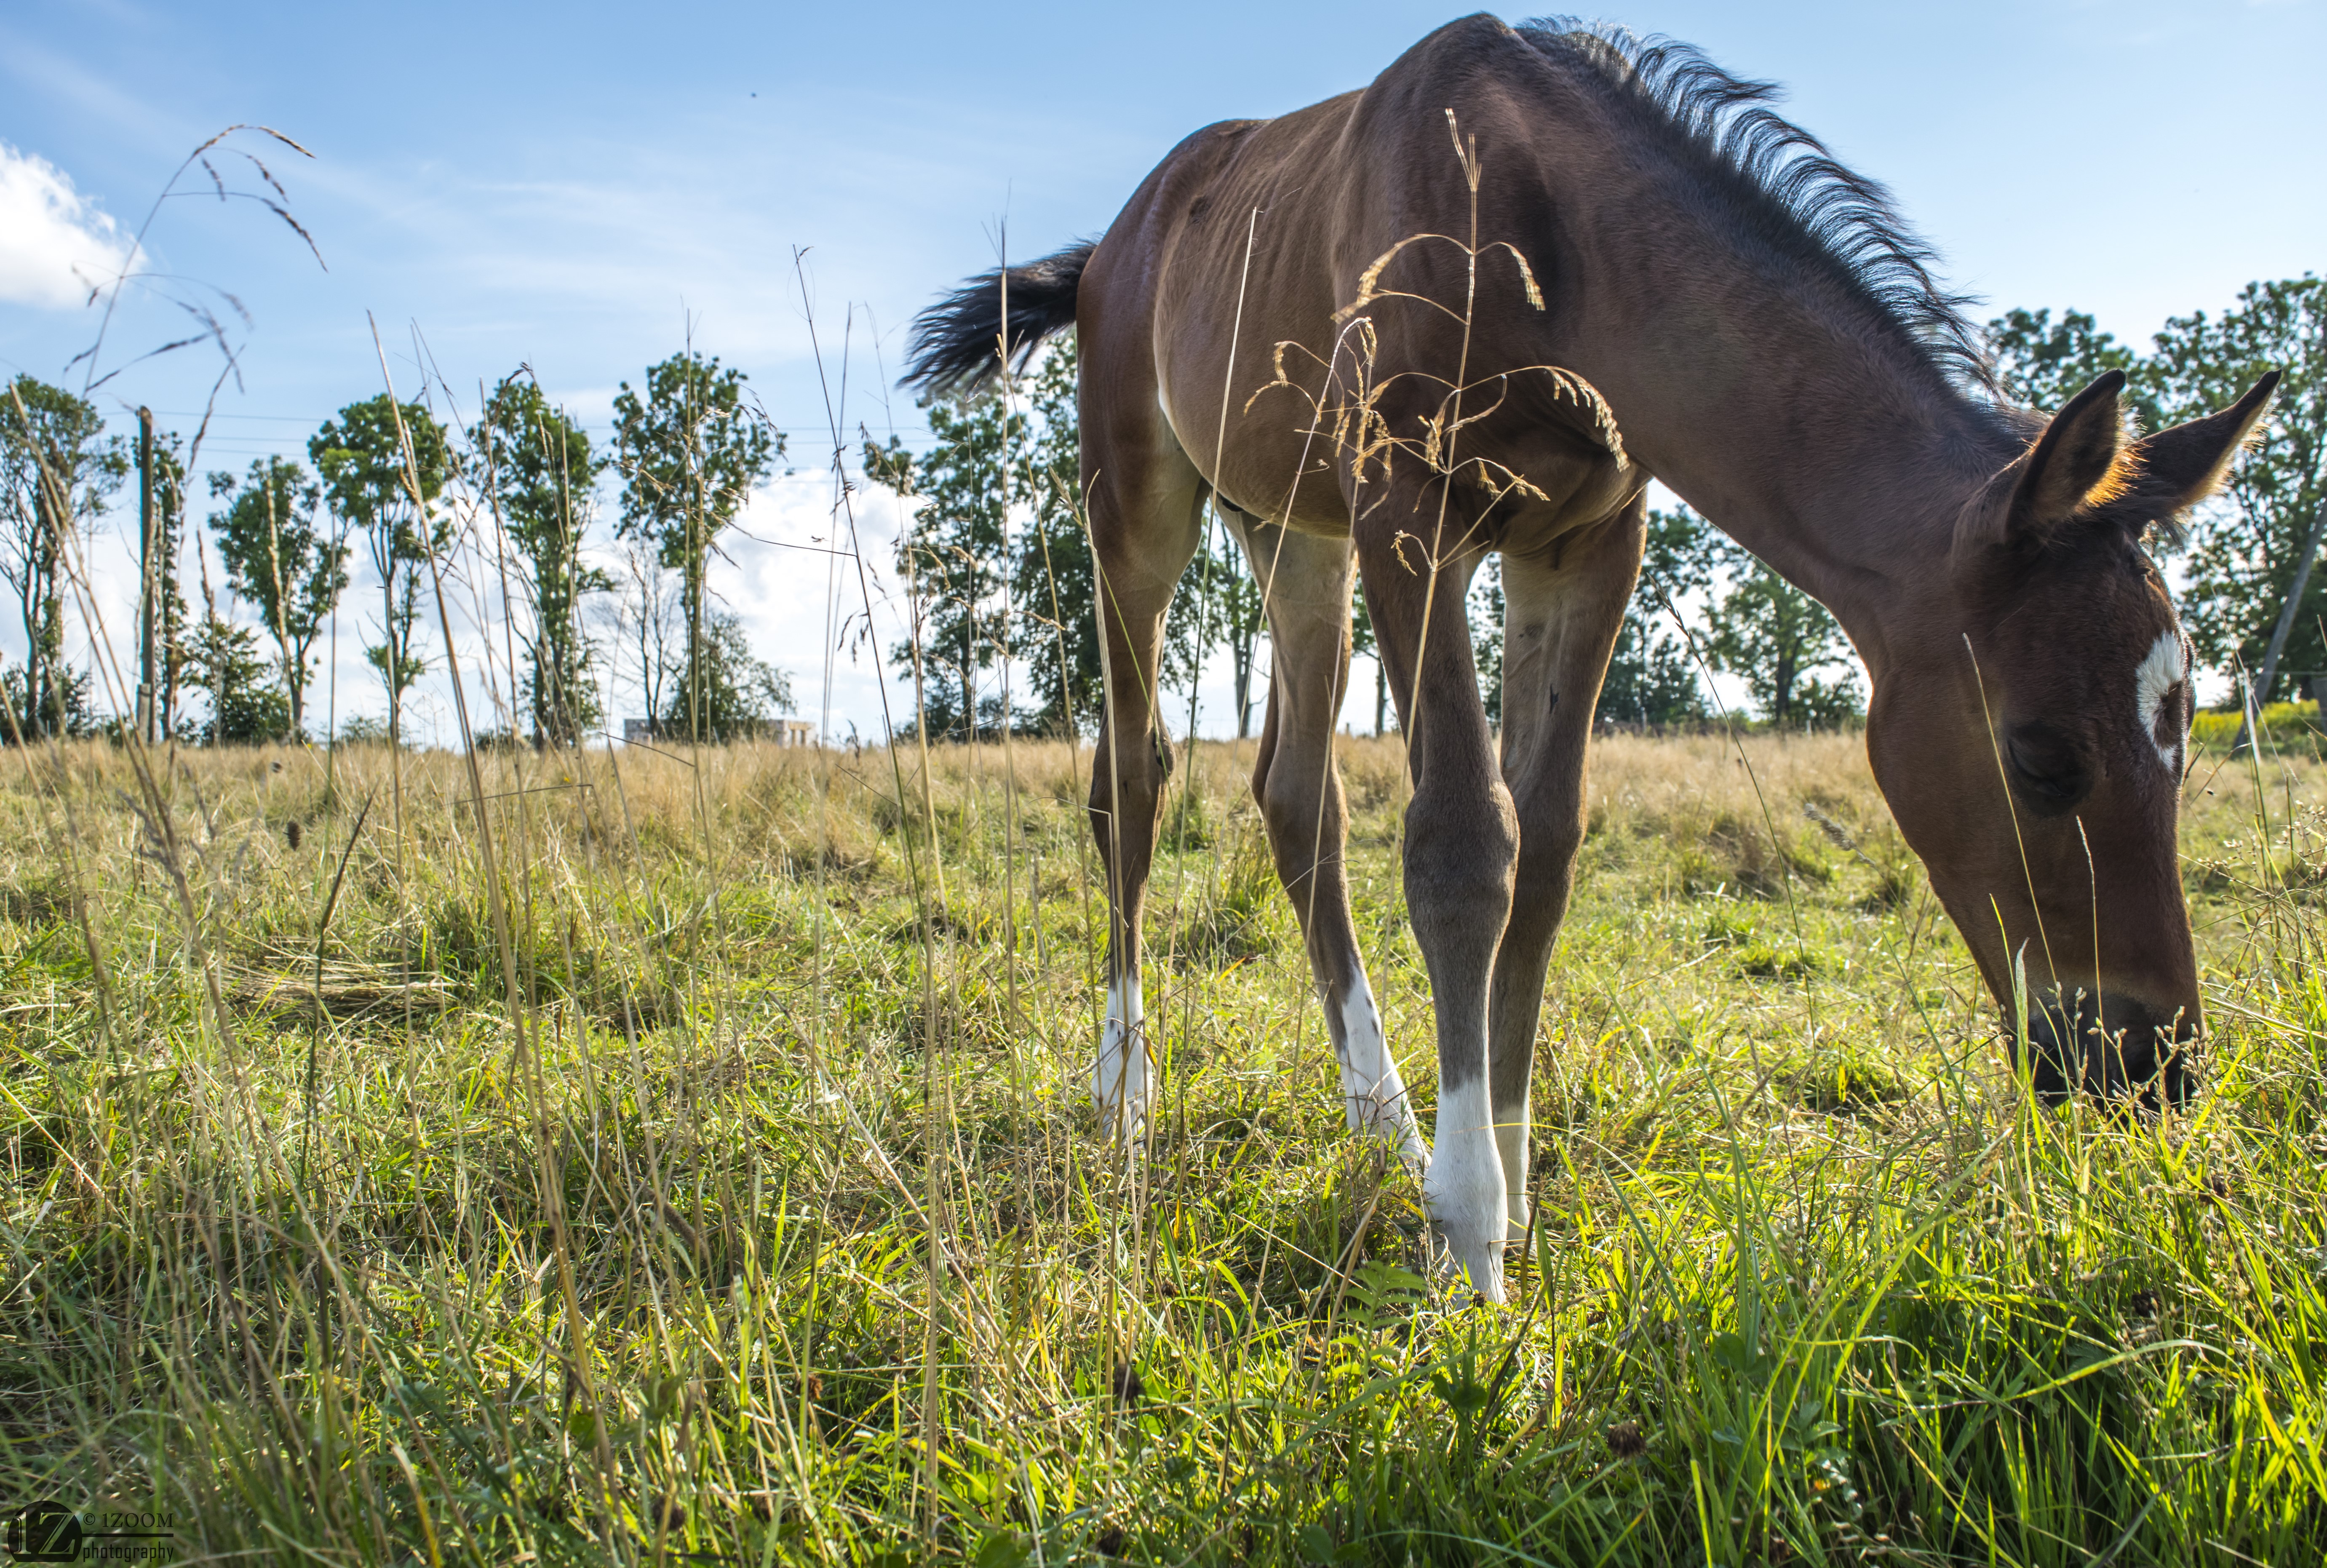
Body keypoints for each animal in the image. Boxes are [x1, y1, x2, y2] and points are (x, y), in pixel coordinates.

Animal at [902, 15, 2276, 1301]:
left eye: (2182, 744)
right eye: (2039, 756)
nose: (2152, 1067)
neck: (1544, 224)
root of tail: (1111, 239)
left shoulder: (1586, 542)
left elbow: (1548, 839)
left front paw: (1506, 1187)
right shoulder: (1409, 508)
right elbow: (1464, 840)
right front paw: (1467, 1239)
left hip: (1293, 530)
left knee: (1295, 795)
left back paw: (1380, 1117)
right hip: (1137, 499)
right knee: (1131, 776)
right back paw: (1126, 1093)